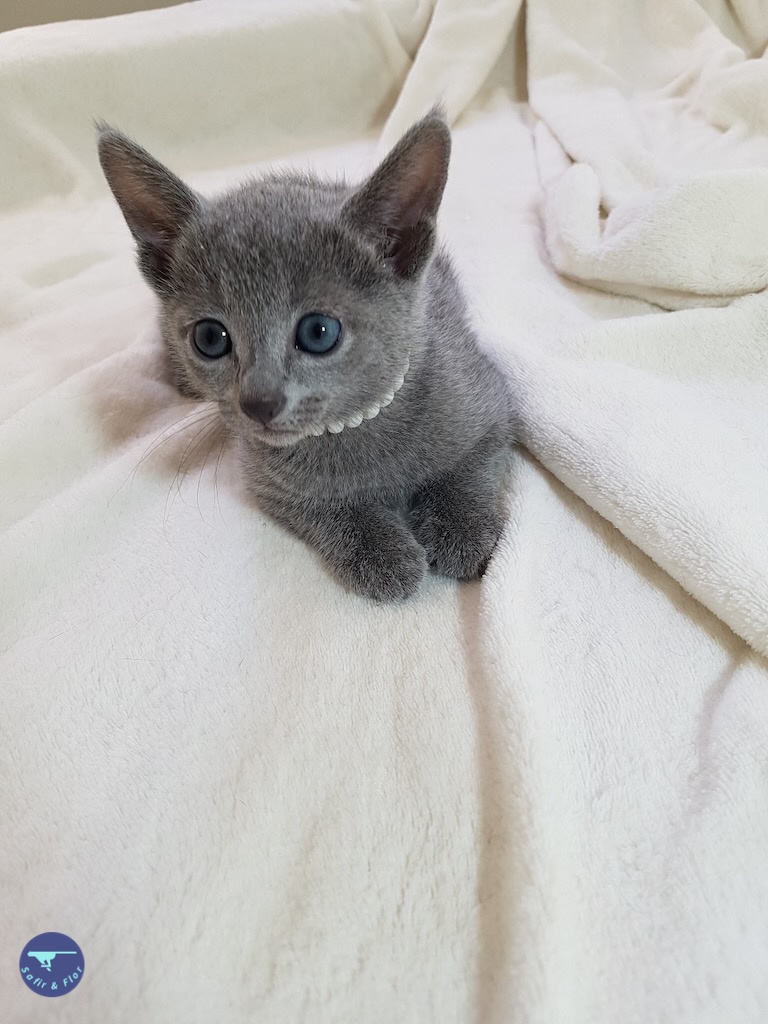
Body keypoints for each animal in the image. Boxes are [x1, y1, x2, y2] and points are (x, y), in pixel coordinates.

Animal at [97, 111, 513, 601]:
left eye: (319, 333)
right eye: (210, 338)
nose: (258, 402)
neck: (354, 429)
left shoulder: (491, 402)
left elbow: (470, 464)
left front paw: (462, 527)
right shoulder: (268, 481)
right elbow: (324, 508)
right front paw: (381, 553)